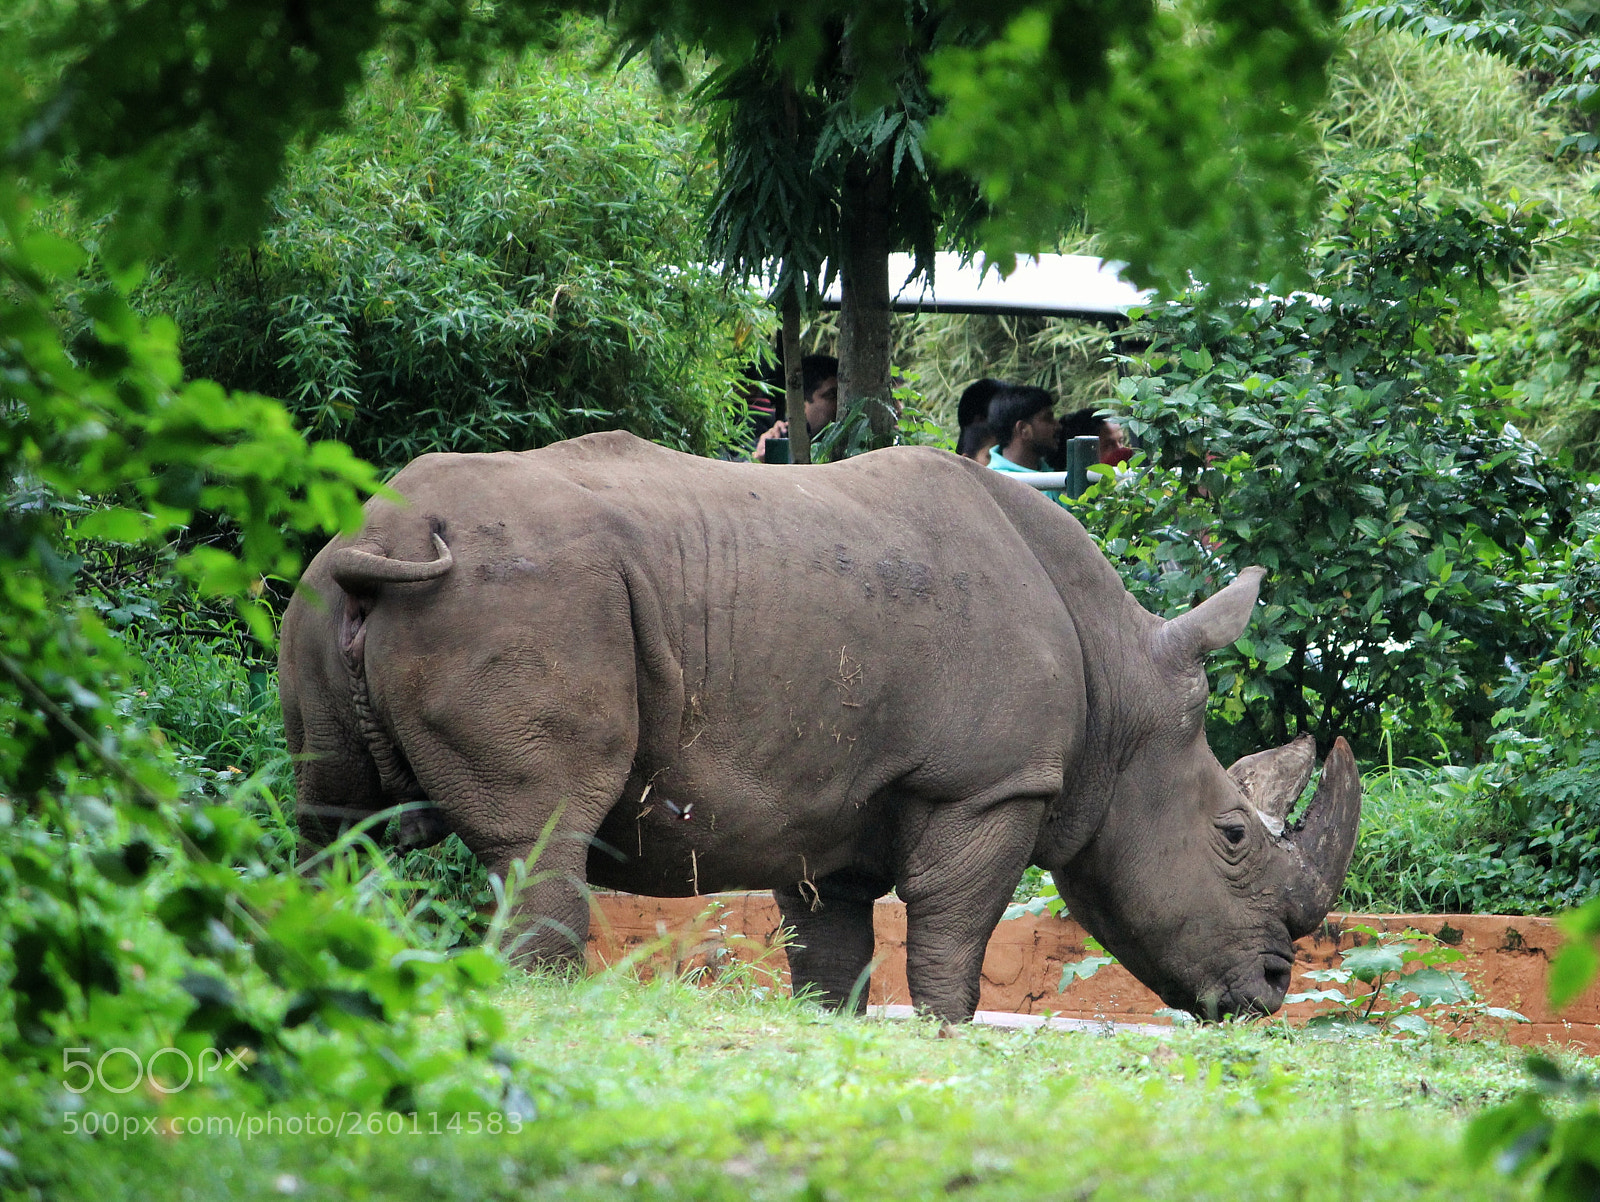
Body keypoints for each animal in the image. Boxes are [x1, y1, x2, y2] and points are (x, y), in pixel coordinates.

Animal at [280, 431, 1360, 1022]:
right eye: (1231, 835)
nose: (1274, 986)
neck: (1121, 687)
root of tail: (390, 537)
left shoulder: (828, 807)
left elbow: (833, 951)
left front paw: (833, 1028)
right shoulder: (987, 783)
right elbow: (951, 928)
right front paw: (944, 1035)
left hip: (328, 584)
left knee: (331, 825)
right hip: (528, 597)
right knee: (541, 832)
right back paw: (539, 999)